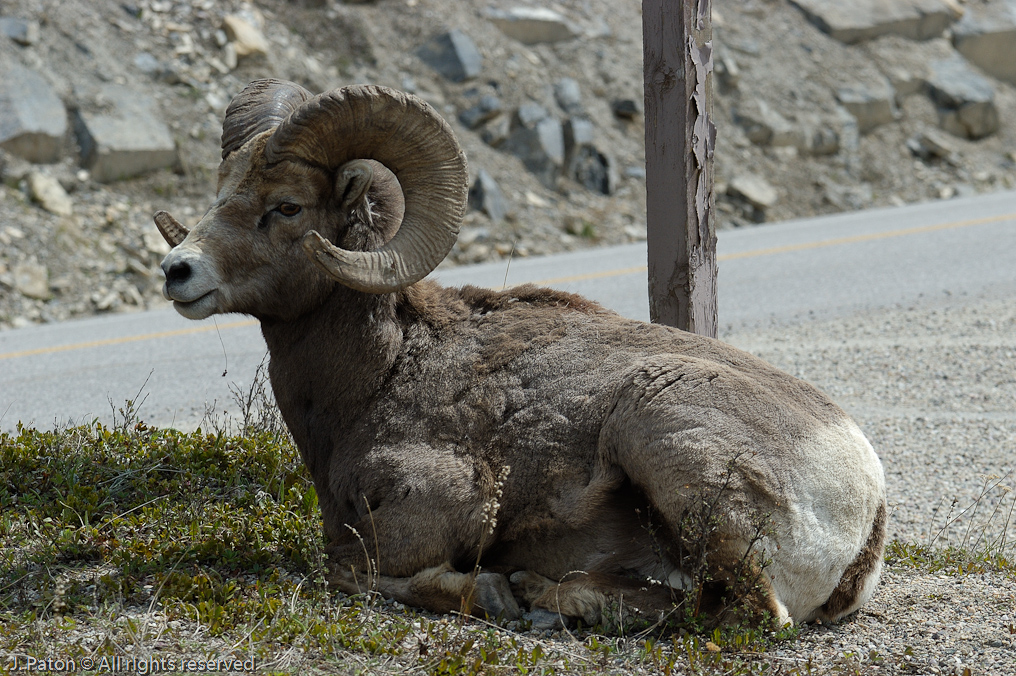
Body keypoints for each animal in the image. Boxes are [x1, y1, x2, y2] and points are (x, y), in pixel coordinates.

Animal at [155, 79, 887, 630]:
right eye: (219, 193)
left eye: (286, 207)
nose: (176, 272)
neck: (384, 373)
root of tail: (867, 498)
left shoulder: (441, 505)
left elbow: (347, 568)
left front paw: (489, 590)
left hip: (660, 434)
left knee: (741, 611)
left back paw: (537, 593)